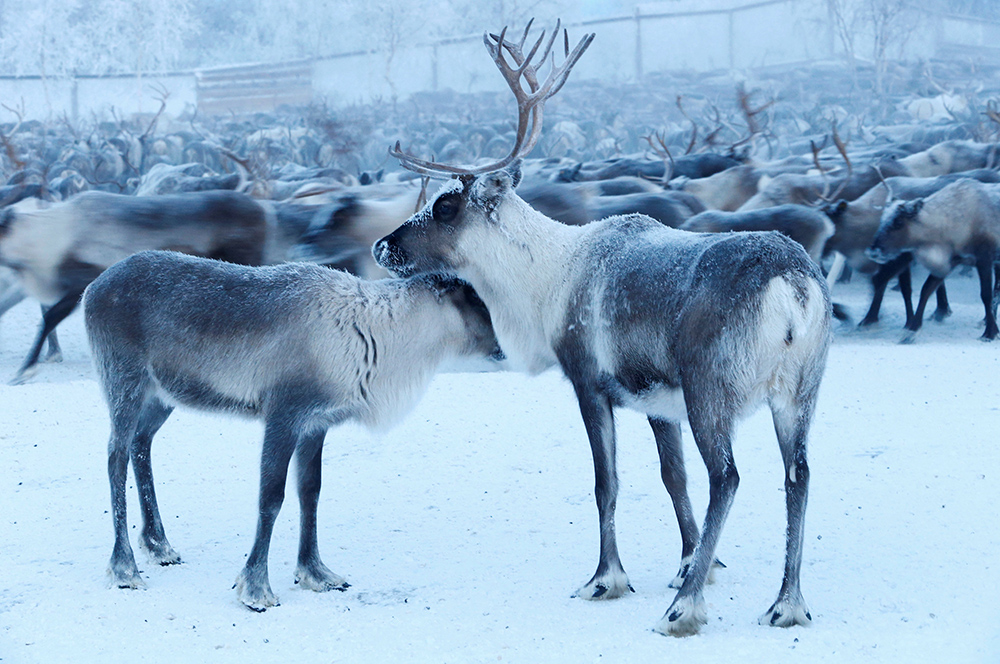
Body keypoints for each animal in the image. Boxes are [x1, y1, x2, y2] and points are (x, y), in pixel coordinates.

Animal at [374, 21, 832, 636]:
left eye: (446, 205)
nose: (382, 246)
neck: (545, 282)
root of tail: (791, 284)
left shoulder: (589, 381)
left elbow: (606, 482)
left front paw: (607, 578)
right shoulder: (660, 401)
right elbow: (672, 477)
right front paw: (694, 563)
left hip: (712, 387)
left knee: (729, 477)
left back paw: (683, 611)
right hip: (799, 391)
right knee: (797, 475)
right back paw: (787, 603)